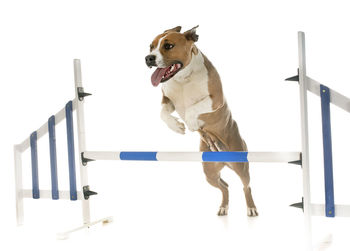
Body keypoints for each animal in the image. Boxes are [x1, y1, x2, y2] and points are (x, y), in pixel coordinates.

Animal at [145, 26, 258, 217]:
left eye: (168, 45)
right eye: (151, 46)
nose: (148, 58)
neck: (183, 77)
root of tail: (224, 159)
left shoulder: (216, 99)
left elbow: (193, 109)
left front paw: (190, 123)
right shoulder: (167, 100)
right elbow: (162, 114)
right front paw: (177, 126)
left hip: (240, 165)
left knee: (246, 186)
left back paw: (251, 208)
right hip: (209, 172)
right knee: (225, 186)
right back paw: (223, 206)